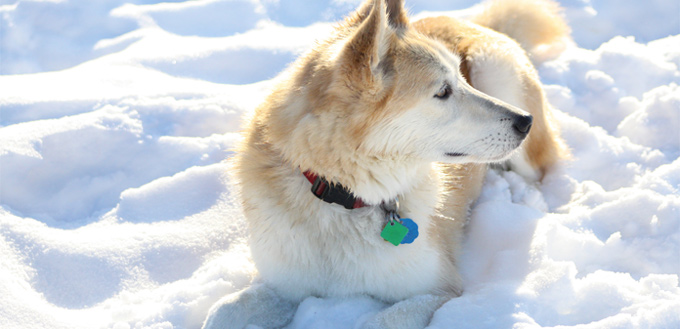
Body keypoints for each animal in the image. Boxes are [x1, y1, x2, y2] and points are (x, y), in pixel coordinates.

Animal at [202, 0, 568, 326]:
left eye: (461, 79)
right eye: (443, 91)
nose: (524, 121)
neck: (343, 198)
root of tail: (470, 20)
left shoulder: (438, 289)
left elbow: (382, 321)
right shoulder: (286, 285)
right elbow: (223, 311)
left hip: (499, 76)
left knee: (543, 171)